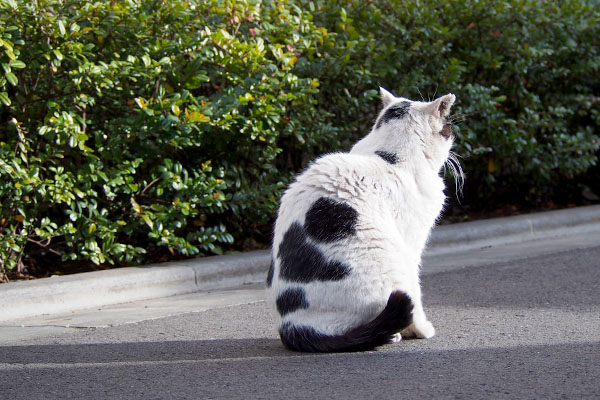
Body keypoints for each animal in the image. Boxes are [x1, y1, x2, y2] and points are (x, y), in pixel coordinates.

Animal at [266, 88, 460, 354]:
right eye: (449, 128)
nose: (454, 142)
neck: (390, 155)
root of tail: (292, 328)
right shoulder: (411, 246)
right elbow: (416, 292)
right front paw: (423, 330)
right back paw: (391, 334)